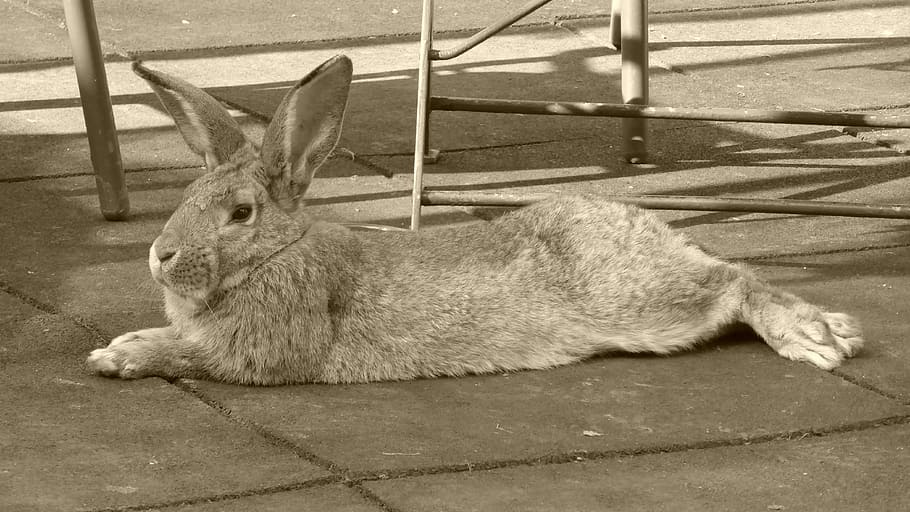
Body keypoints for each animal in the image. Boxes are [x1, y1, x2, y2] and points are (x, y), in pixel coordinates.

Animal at [86, 55, 863, 385]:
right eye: (189, 194)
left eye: (240, 213)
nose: (159, 255)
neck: (276, 254)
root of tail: (652, 232)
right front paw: (124, 341)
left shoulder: (262, 351)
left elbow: (192, 355)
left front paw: (120, 358)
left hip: (642, 305)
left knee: (737, 281)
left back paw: (817, 338)